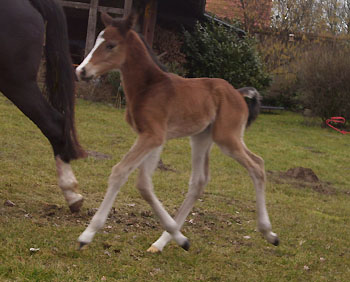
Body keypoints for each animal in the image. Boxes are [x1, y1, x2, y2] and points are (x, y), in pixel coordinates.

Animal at [76, 12, 278, 252]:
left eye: (110, 45)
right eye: (98, 40)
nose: (81, 71)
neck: (149, 87)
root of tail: (238, 93)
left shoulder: (153, 136)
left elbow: (119, 172)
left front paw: (87, 234)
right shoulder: (153, 138)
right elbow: (144, 184)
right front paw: (180, 237)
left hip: (226, 137)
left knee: (257, 165)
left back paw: (269, 232)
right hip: (201, 138)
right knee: (199, 181)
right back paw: (162, 242)